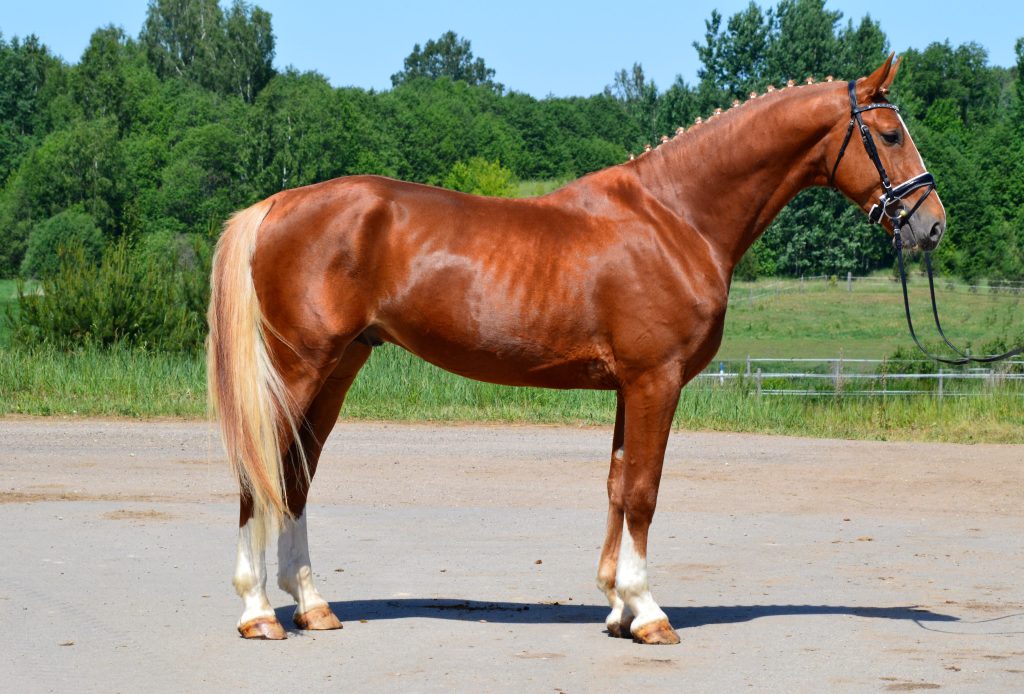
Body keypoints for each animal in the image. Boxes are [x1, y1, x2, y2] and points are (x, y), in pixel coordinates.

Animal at [207, 55, 945, 645]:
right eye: (888, 134)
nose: (931, 224)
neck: (675, 217)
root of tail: (276, 205)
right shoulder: (656, 380)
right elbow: (644, 491)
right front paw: (649, 613)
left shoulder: (629, 386)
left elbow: (618, 486)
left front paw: (618, 607)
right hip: (299, 367)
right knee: (257, 473)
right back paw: (258, 613)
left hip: (339, 367)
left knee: (295, 476)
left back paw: (313, 605)